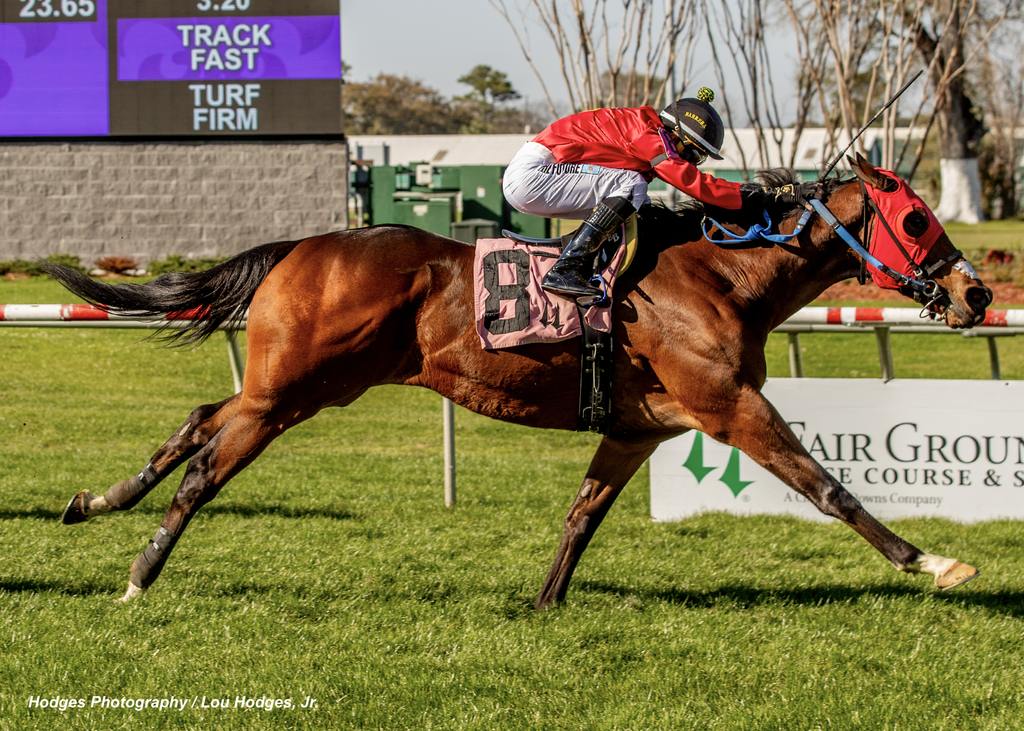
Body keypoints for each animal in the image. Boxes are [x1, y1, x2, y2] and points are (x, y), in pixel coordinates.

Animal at [48, 156, 991, 606]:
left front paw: (542, 604)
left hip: (297, 386)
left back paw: (97, 501)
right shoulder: (729, 407)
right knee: (208, 467)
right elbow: (830, 487)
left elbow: (582, 515)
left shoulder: (638, 427)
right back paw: (138, 576)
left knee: (200, 415)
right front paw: (934, 560)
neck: (719, 278)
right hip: (291, 392)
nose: (976, 292)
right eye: (916, 219)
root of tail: (302, 246)